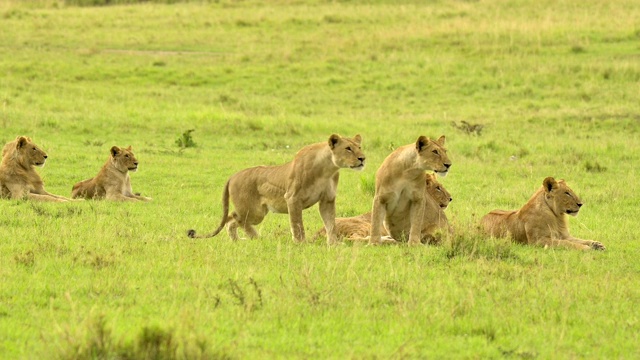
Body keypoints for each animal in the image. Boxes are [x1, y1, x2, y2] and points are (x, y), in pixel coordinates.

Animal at [188, 134, 364, 246]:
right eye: (348, 148)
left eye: (360, 147)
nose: (363, 158)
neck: (327, 168)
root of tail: (233, 176)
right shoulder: (292, 197)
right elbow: (297, 224)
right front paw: (301, 244)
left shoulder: (327, 199)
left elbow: (330, 223)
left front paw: (333, 244)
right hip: (255, 212)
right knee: (236, 218)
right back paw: (256, 237)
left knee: (231, 220)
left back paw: (238, 241)